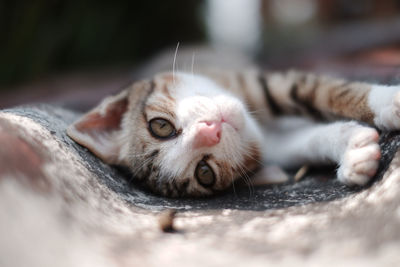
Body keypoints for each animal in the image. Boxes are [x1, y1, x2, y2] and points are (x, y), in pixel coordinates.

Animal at [67, 69, 398, 197]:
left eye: (160, 127)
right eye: (204, 172)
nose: (210, 131)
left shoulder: (254, 82)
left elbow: (319, 90)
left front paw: (388, 102)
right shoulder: (269, 145)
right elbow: (305, 140)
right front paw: (354, 151)